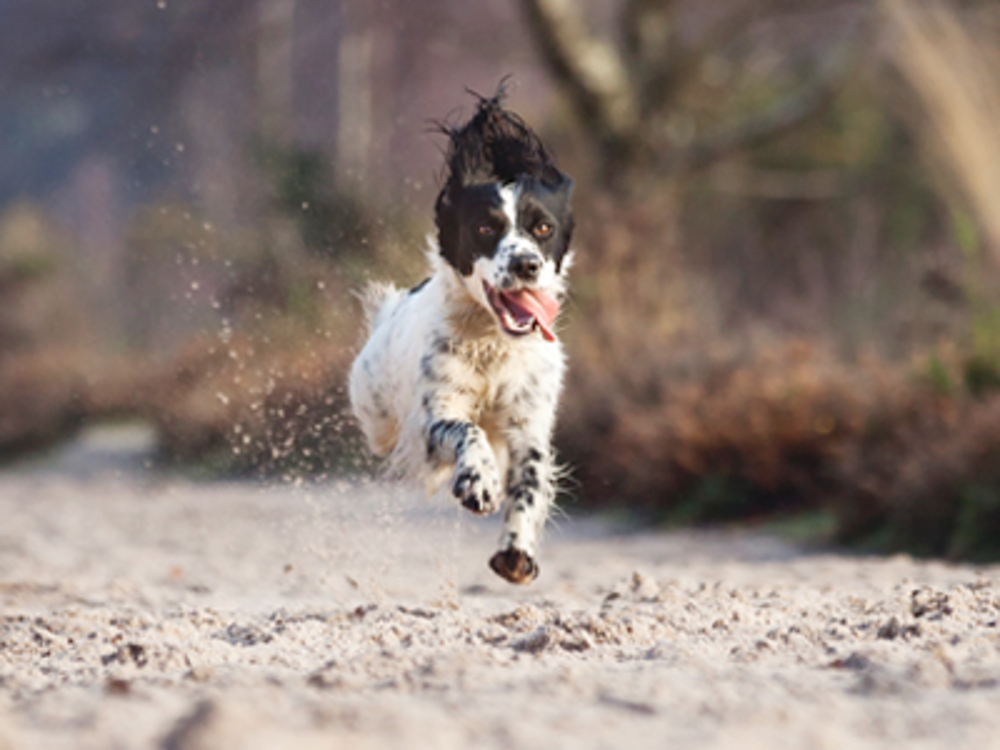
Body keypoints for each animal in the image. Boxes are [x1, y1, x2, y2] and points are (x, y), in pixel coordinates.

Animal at [348, 89, 576, 588]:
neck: (493, 342)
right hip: (376, 414)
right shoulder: (432, 416)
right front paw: (477, 483)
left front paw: (516, 552)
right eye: (486, 228)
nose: (526, 264)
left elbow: (531, 479)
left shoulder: (529, 422)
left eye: (543, 227)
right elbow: (464, 429)